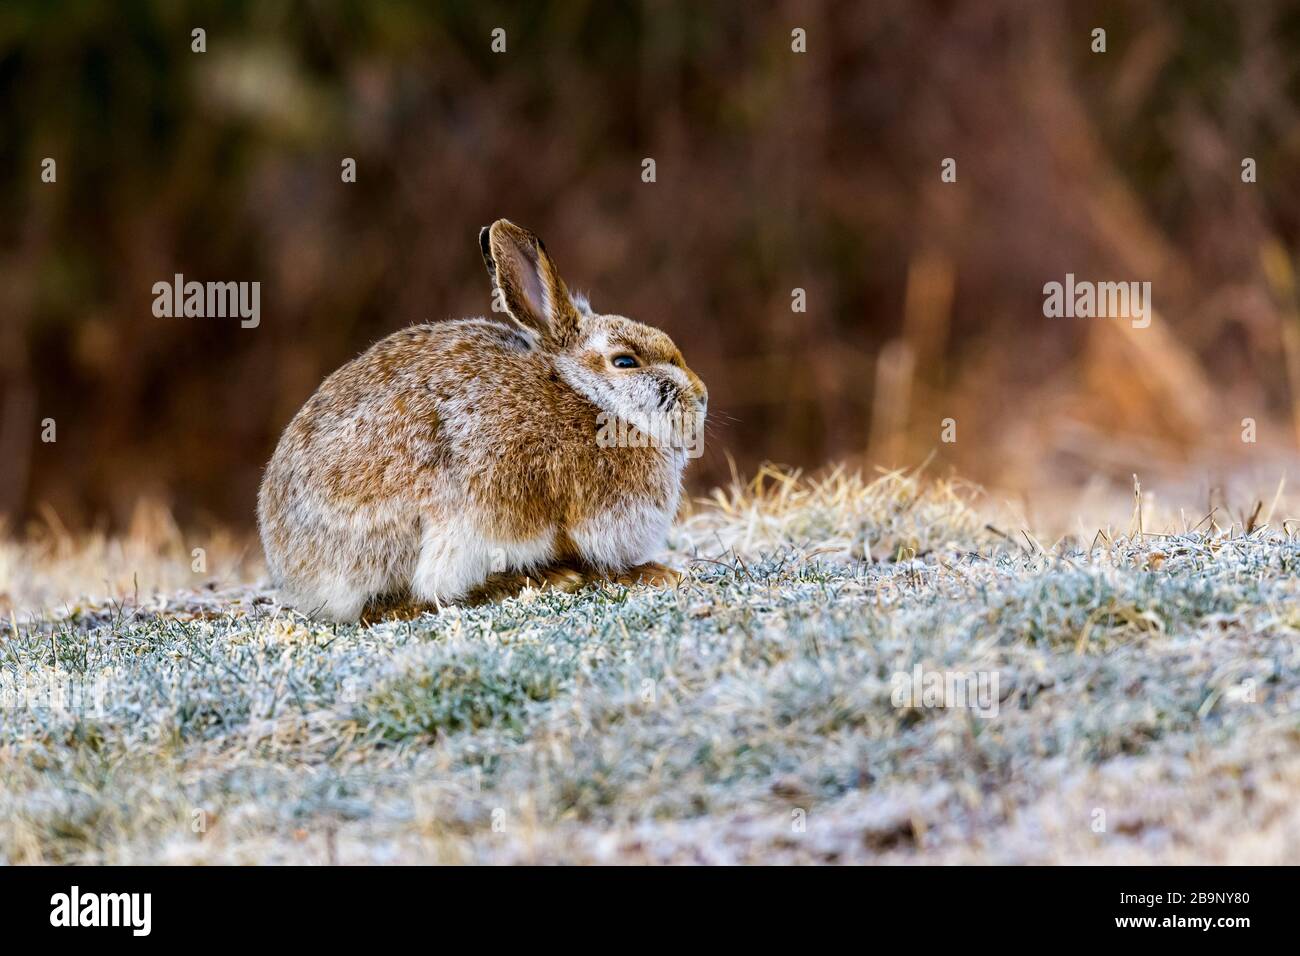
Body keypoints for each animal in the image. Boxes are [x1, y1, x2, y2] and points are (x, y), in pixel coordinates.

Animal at [257, 219, 707, 622]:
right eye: (626, 362)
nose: (701, 397)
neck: (590, 397)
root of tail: (292, 564)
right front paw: (651, 573)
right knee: (405, 599)